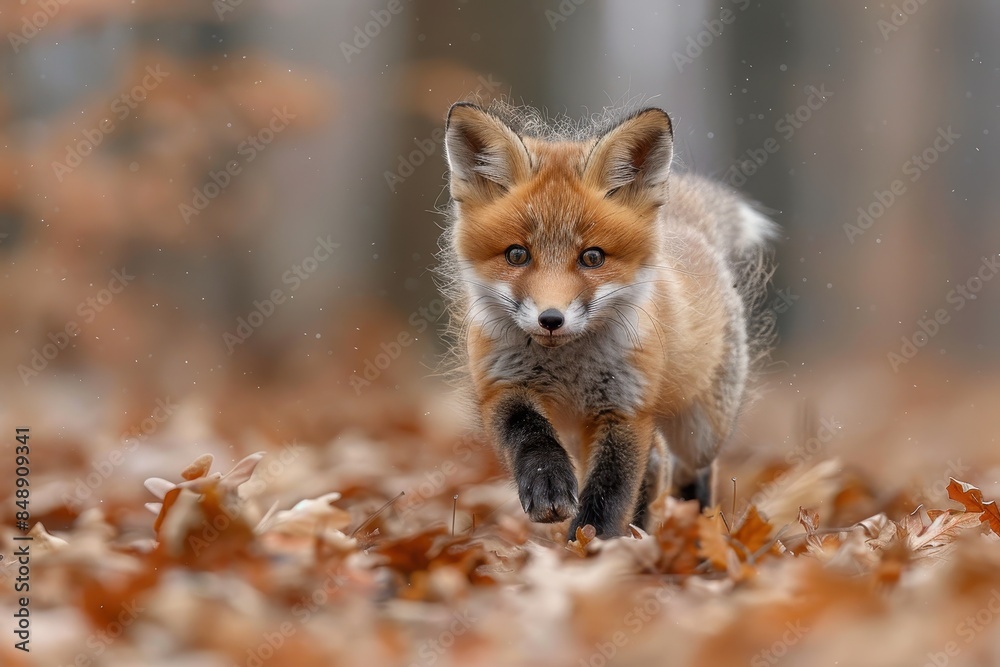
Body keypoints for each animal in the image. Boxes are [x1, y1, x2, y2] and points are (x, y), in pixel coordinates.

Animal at [438, 101, 777, 538]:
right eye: (516, 255)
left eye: (592, 257)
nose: (551, 319)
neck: (568, 368)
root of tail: (689, 226)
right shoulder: (502, 386)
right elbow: (530, 434)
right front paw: (548, 486)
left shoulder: (625, 407)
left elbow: (610, 488)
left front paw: (591, 543)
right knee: (656, 463)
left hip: (700, 431)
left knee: (689, 468)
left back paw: (693, 522)